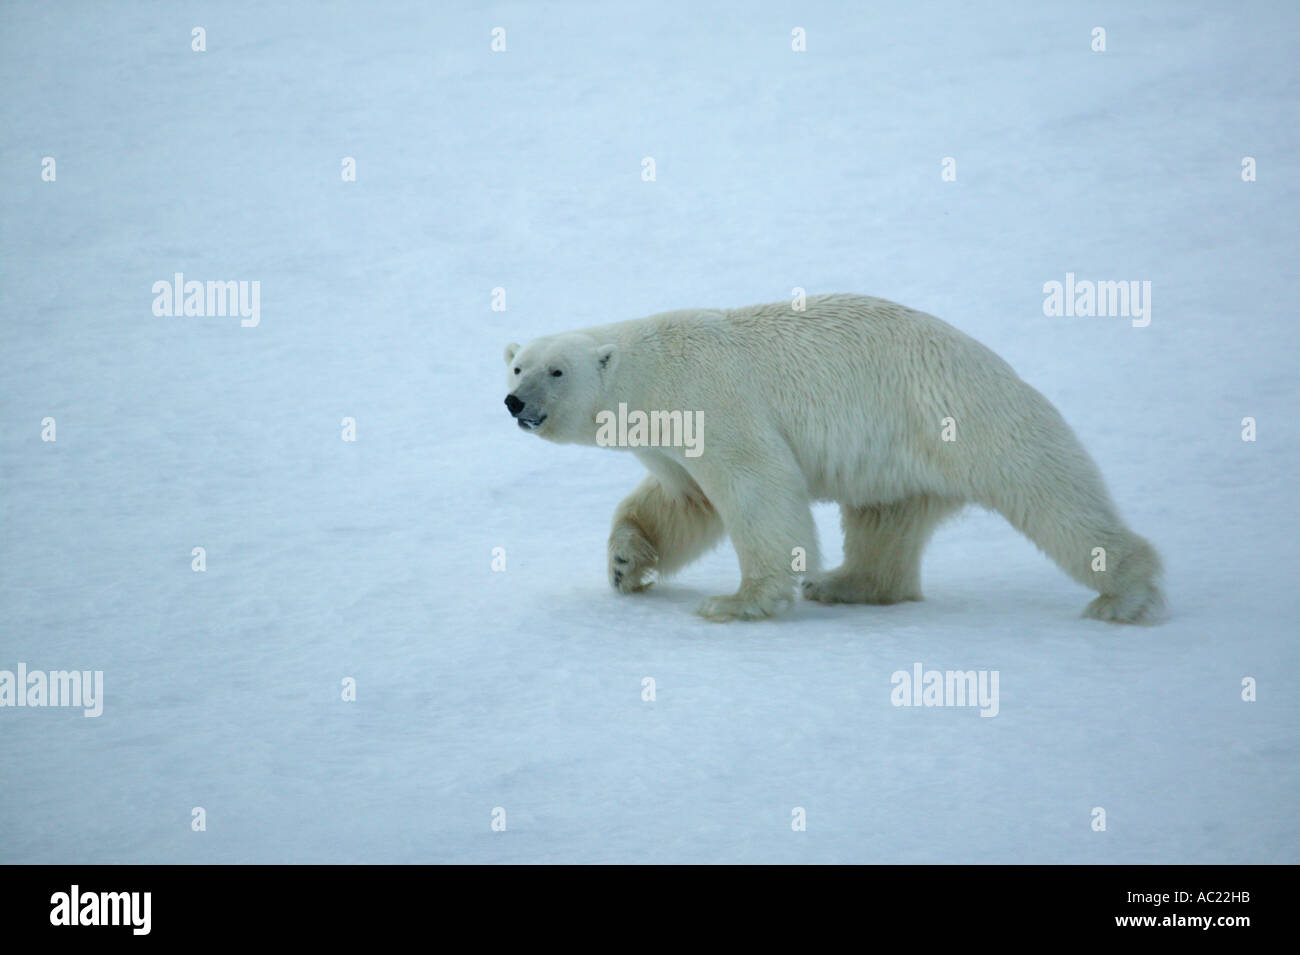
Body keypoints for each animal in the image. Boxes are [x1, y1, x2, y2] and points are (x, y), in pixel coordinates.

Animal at [501, 294, 1164, 623]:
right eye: (516, 366)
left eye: (555, 371)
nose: (516, 402)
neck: (653, 370)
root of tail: (997, 365)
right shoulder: (668, 441)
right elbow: (685, 502)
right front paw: (623, 563)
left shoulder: (712, 398)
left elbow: (756, 484)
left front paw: (739, 602)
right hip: (901, 457)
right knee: (884, 520)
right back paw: (845, 583)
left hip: (967, 419)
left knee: (1051, 495)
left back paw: (1123, 594)